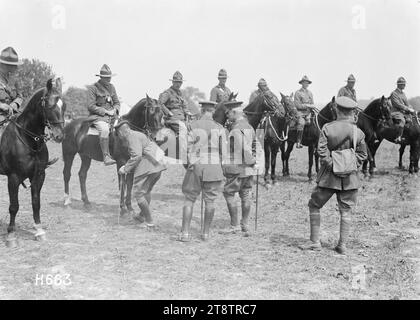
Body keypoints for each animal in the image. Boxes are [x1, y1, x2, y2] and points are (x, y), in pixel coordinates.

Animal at [0, 78, 65, 248]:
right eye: (49, 104)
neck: (28, 138)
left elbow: (36, 202)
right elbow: (14, 206)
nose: (59, 135)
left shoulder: (39, 175)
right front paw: (11, 235)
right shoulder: (13, 177)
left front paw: (39, 230)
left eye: (64, 105)